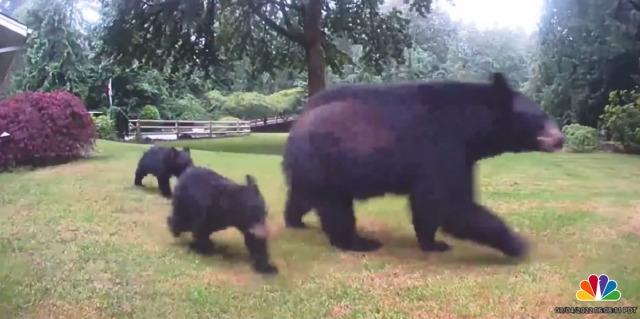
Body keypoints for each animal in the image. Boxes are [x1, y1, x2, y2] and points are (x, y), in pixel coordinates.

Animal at [282, 74, 564, 258]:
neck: (469, 125)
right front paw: (517, 244)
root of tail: (296, 125)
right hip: (325, 162)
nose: (560, 139)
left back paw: (294, 220)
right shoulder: (439, 147)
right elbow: (450, 204)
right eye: (540, 119)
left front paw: (432, 243)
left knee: (302, 196)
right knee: (336, 210)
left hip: (312, 169)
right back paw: (359, 242)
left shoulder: (461, 156)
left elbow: (428, 206)